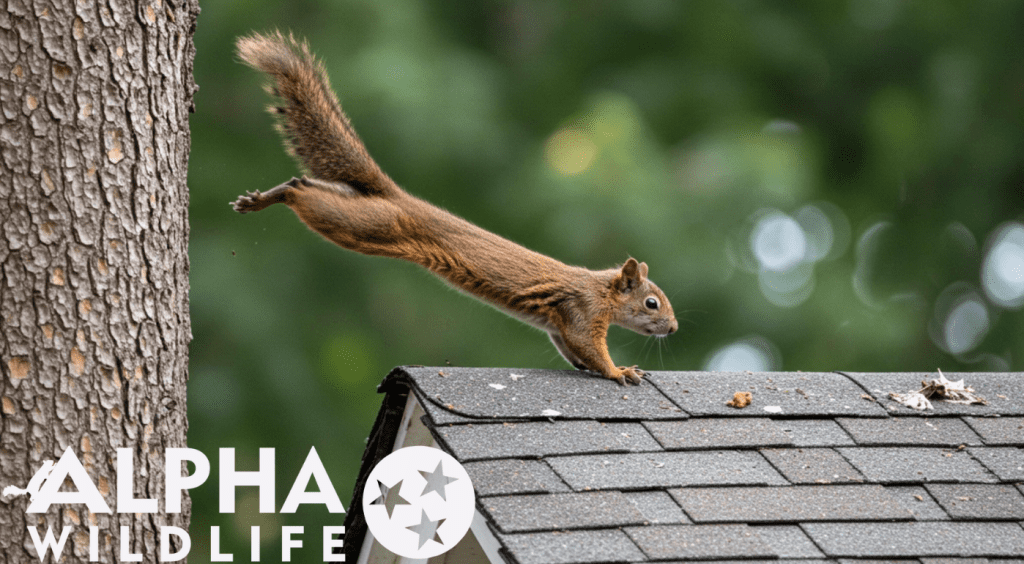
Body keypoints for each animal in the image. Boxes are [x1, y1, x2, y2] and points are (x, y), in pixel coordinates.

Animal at [231, 32, 678, 385]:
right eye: (651, 303)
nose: (673, 328)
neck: (600, 289)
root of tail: (397, 196)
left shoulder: (559, 324)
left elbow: (571, 349)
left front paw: (597, 369)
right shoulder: (584, 311)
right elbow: (589, 346)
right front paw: (620, 371)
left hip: (361, 213)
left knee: (306, 184)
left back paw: (265, 196)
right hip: (370, 226)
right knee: (306, 196)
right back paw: (275, 197)